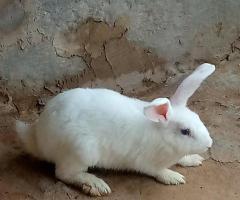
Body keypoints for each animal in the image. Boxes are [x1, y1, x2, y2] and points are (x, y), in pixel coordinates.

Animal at [16, 63, 216, 196]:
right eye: (185, 131)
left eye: (198, 118)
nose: (209, 144)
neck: (160, 134)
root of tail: (38, 137)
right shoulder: (146, 162)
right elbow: (157, 171)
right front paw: (174, 177)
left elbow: (183, 158)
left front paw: (193, 159)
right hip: (82, 150)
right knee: (64, 174)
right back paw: (96, 185)